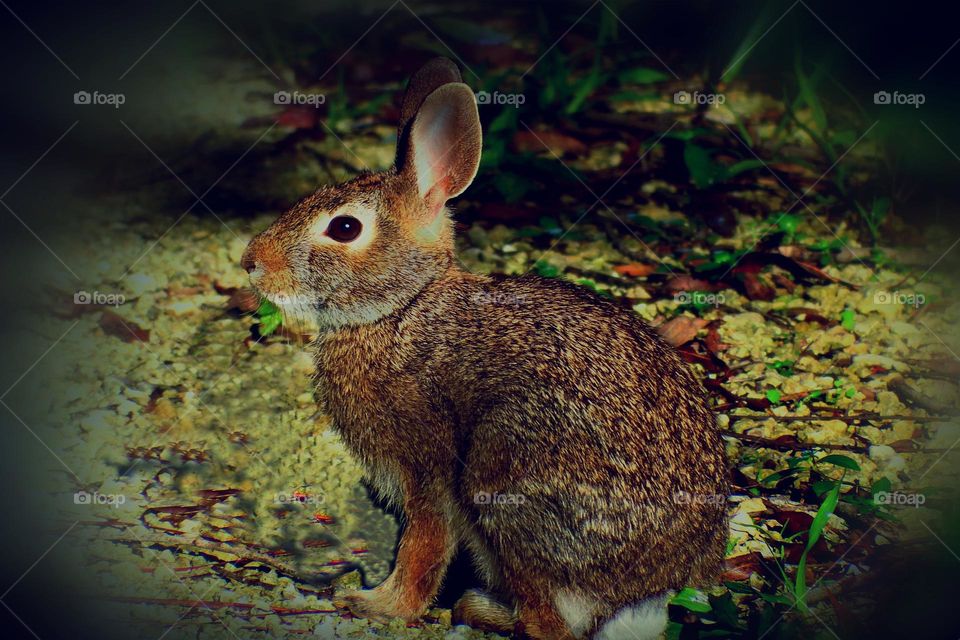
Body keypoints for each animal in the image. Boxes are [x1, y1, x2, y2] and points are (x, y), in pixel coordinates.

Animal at [241, 57, 728, 640]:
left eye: (344, 227)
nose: (251, 262)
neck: (401, 308)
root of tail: (648, 590)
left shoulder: (427, 465)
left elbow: (424, 546)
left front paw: (378, 605)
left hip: (505, 474)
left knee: (548, 622)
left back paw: (477, 608)